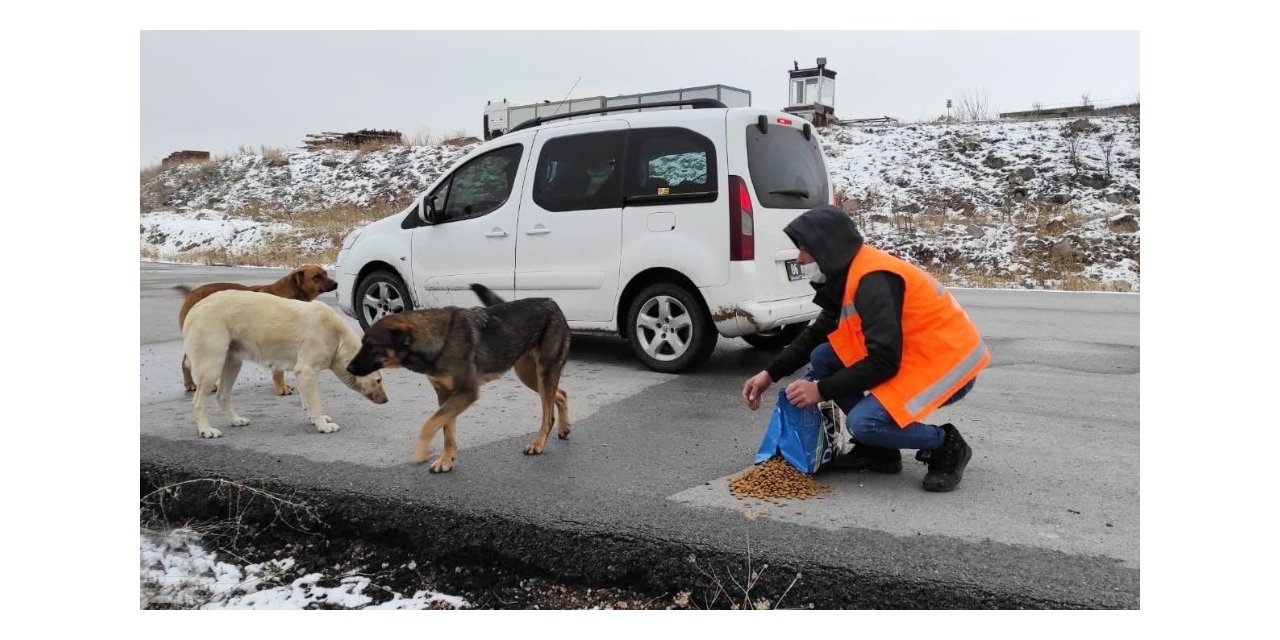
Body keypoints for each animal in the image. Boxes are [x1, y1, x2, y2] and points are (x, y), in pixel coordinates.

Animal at [175, 262, 337, 391]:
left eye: (325, 273)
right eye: (316, 276)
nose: (336, 284)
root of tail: (192, 293)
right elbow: (278, 371)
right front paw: (281, 388)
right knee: (186, 363)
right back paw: (191, 384)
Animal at [183, 291, 386, 437]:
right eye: (378, 380)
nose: (386, 401)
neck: (337, 336)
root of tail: (194, 309)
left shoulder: (302, 373)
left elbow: (308, 401)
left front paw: (316, 420)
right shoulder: (307, 371)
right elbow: (315, 402)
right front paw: (322, 425)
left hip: (232, 364)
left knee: (222, 396)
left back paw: (234, 420)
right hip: (212, 367)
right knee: (197, 402)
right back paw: (205, 430)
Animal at [348, 284, 573, 471]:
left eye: (372, 346)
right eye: (363, 343)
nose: (348, 367)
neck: (439, 339)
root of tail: (551, 302)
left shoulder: (466, 393)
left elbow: (429, 424)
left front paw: (421, 452)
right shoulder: (445, 395)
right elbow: (446, 430)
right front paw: (446, 461)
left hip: (544, 373)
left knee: (548, 414)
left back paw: (538, 443)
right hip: (529, 375)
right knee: (560, 394)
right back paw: (563, 428)